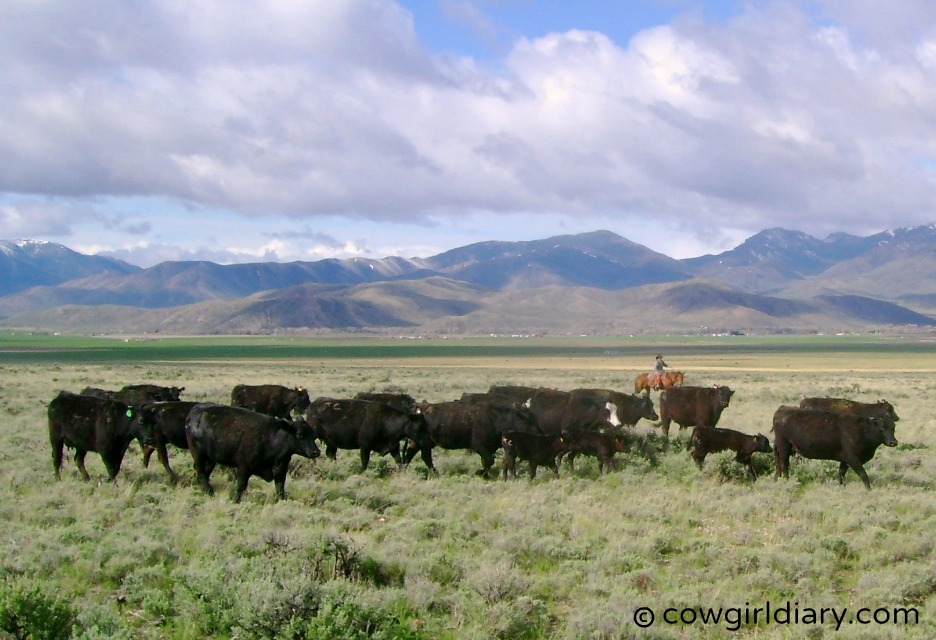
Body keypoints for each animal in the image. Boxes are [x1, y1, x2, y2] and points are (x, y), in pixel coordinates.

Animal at [183, 404, 322, 500]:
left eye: (312, 433)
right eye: (299, 435)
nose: (316, 452)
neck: (271, 438)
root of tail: (195, 411)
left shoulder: (280, 473)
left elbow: (280, 491)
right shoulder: (243, 469)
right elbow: (241, 488)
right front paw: (235, 500)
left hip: (211, 459)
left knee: (204, 474)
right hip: (199, 455)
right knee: (201, 474)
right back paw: (210, 493)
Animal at [410, 398, 540, 478]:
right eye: (529, 420)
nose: (539, 432)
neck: (497, 418)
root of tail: (418, 408)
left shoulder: (488, 448)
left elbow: (486, 461)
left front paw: (485, 475)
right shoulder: (478, 446)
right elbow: (489, 460)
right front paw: (479, 473)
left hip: (419, 443)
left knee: (412, 454)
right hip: (424, 444)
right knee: (425, 457)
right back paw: (435, 473)